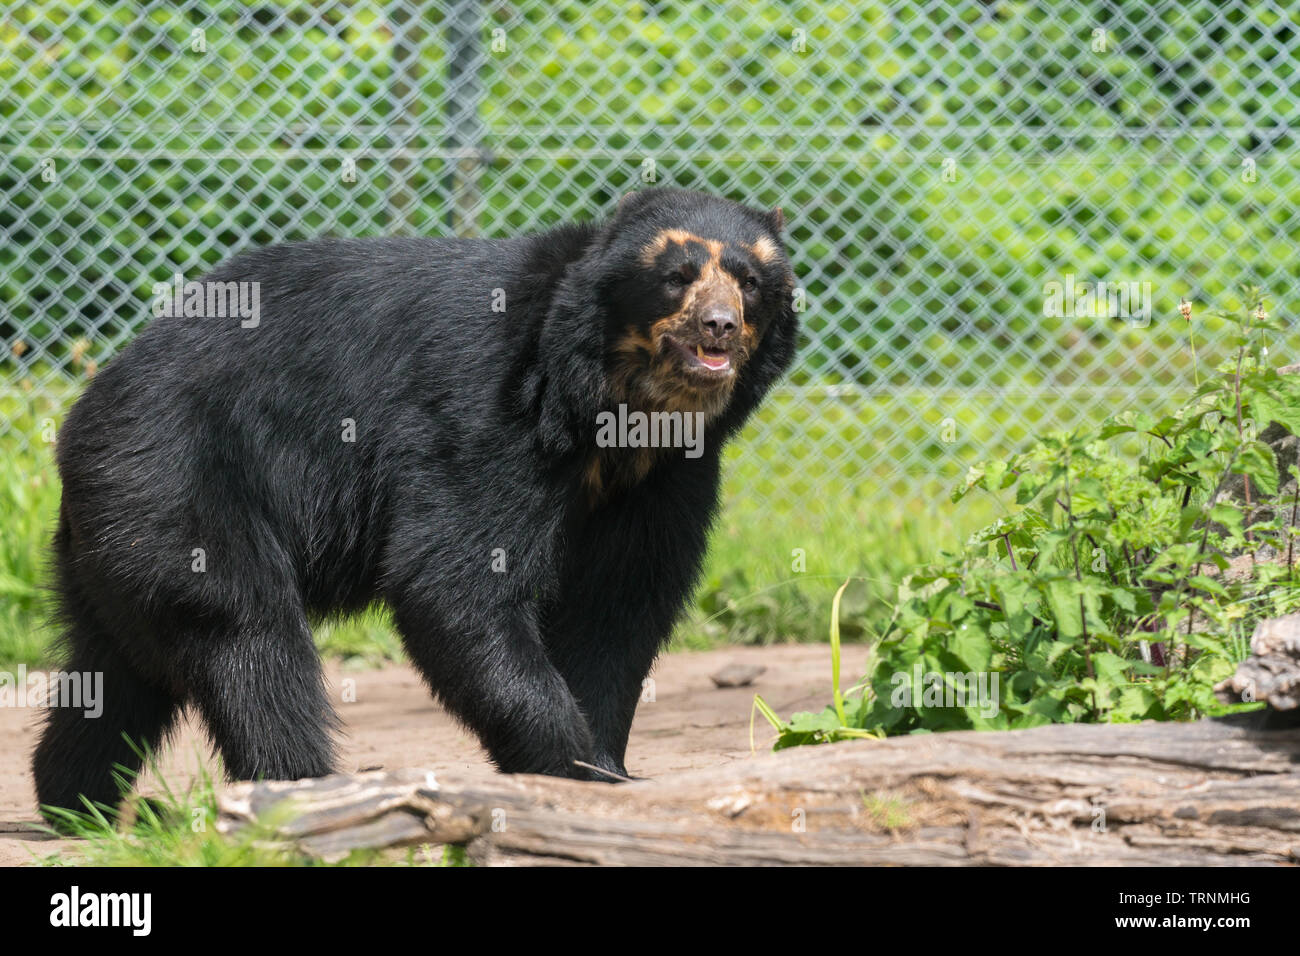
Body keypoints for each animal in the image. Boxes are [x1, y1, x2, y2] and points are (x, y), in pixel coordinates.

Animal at [30, 187, 795, 816]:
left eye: (752, 282)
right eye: (676, 277)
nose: (719, 326)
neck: (620, 410)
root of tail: (83, 415)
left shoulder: (667, 476)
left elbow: (622, 605)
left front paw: (606, 770)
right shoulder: (487, 412)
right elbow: (454, 581)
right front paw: (567, 765)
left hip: (122, 529)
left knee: (119, 669)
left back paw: (78, 799)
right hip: (181, 479)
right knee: (247, 637)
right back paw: (301, 788)